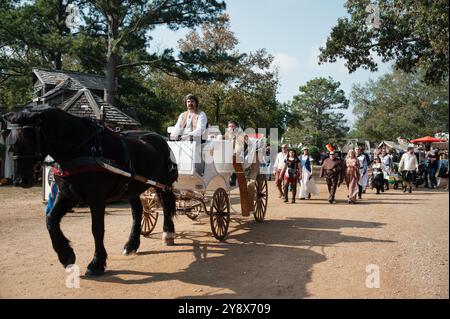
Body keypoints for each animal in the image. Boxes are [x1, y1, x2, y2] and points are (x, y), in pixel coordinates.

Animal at [3, 107, 179, 278]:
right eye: (9, 141)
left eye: (27, 139)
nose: (20, 180)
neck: (82, 149)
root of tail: (159, 138)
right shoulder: (68, 195)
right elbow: (50, 220)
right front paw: (66, 255)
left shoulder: (96, 198)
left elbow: (97, 229)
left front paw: (96, 263)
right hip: (132, 188)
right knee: (138, 211)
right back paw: (131, 245)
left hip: (162, 183)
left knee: (166, 204)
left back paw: (168, 233)